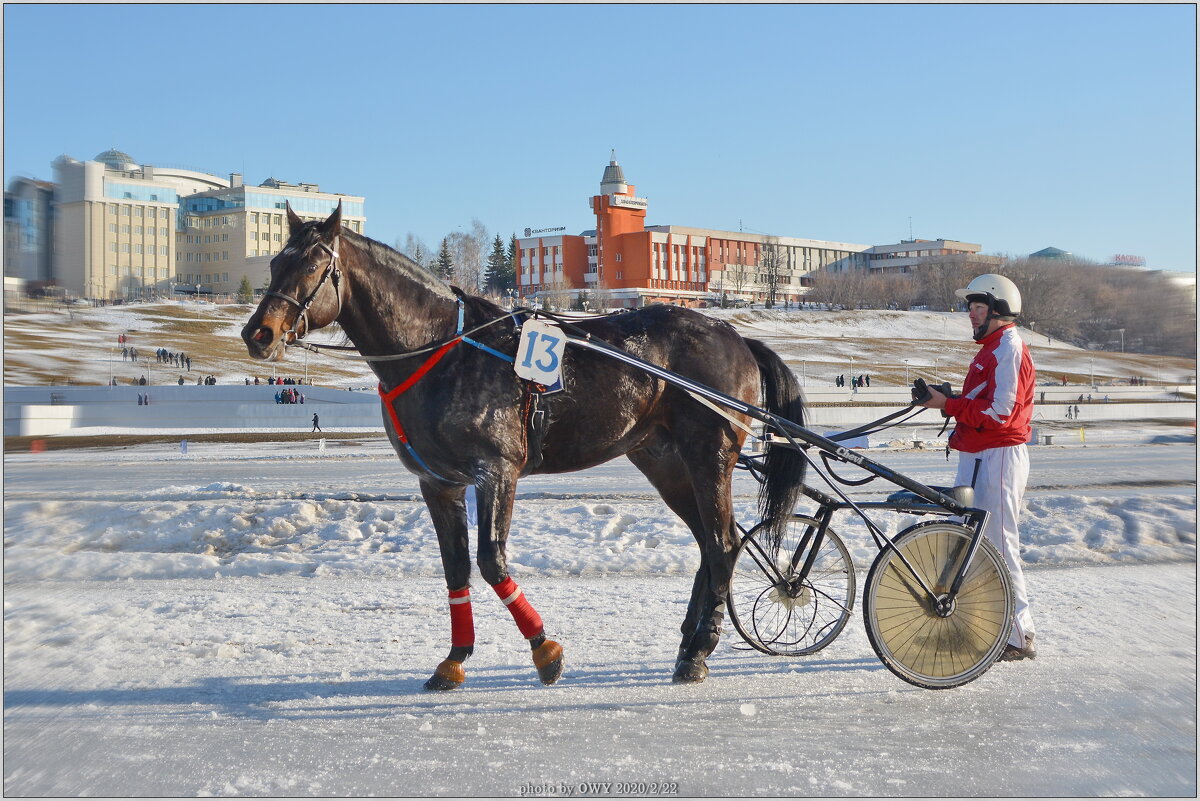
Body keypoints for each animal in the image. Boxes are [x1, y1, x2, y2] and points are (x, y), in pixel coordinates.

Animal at [242, 201, 806, 690]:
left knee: (724, 544)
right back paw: (689, 644)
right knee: (711, 545)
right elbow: (456, 568)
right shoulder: (438, 483)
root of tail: (734, 336)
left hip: (709, 454)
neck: (443, 348)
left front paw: (545, 650)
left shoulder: (497, 470)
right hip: (663, 461)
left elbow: (492, 562)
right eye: (275, 261)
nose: (258, 333)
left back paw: (700, 650)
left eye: (313, 264)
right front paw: (453, 660)